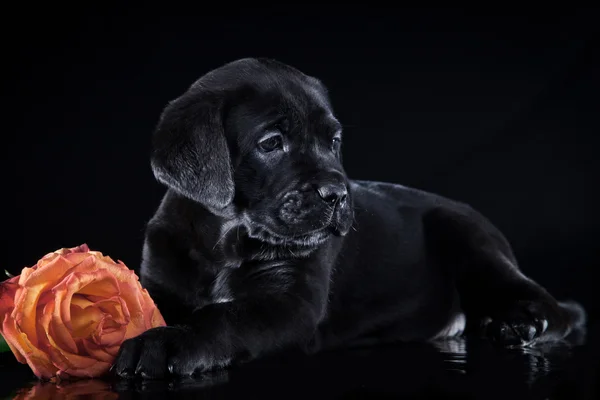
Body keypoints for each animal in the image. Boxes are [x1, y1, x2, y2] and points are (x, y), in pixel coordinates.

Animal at [112, 57, 584, 380]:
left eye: (334, 141)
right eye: (271, 143)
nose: (338, 195)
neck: (224, 241)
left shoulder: (291, 305)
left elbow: (223, 316)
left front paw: (169, 343)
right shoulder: (160, 285)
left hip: (470, 242)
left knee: (557, 309)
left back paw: (521, 326)